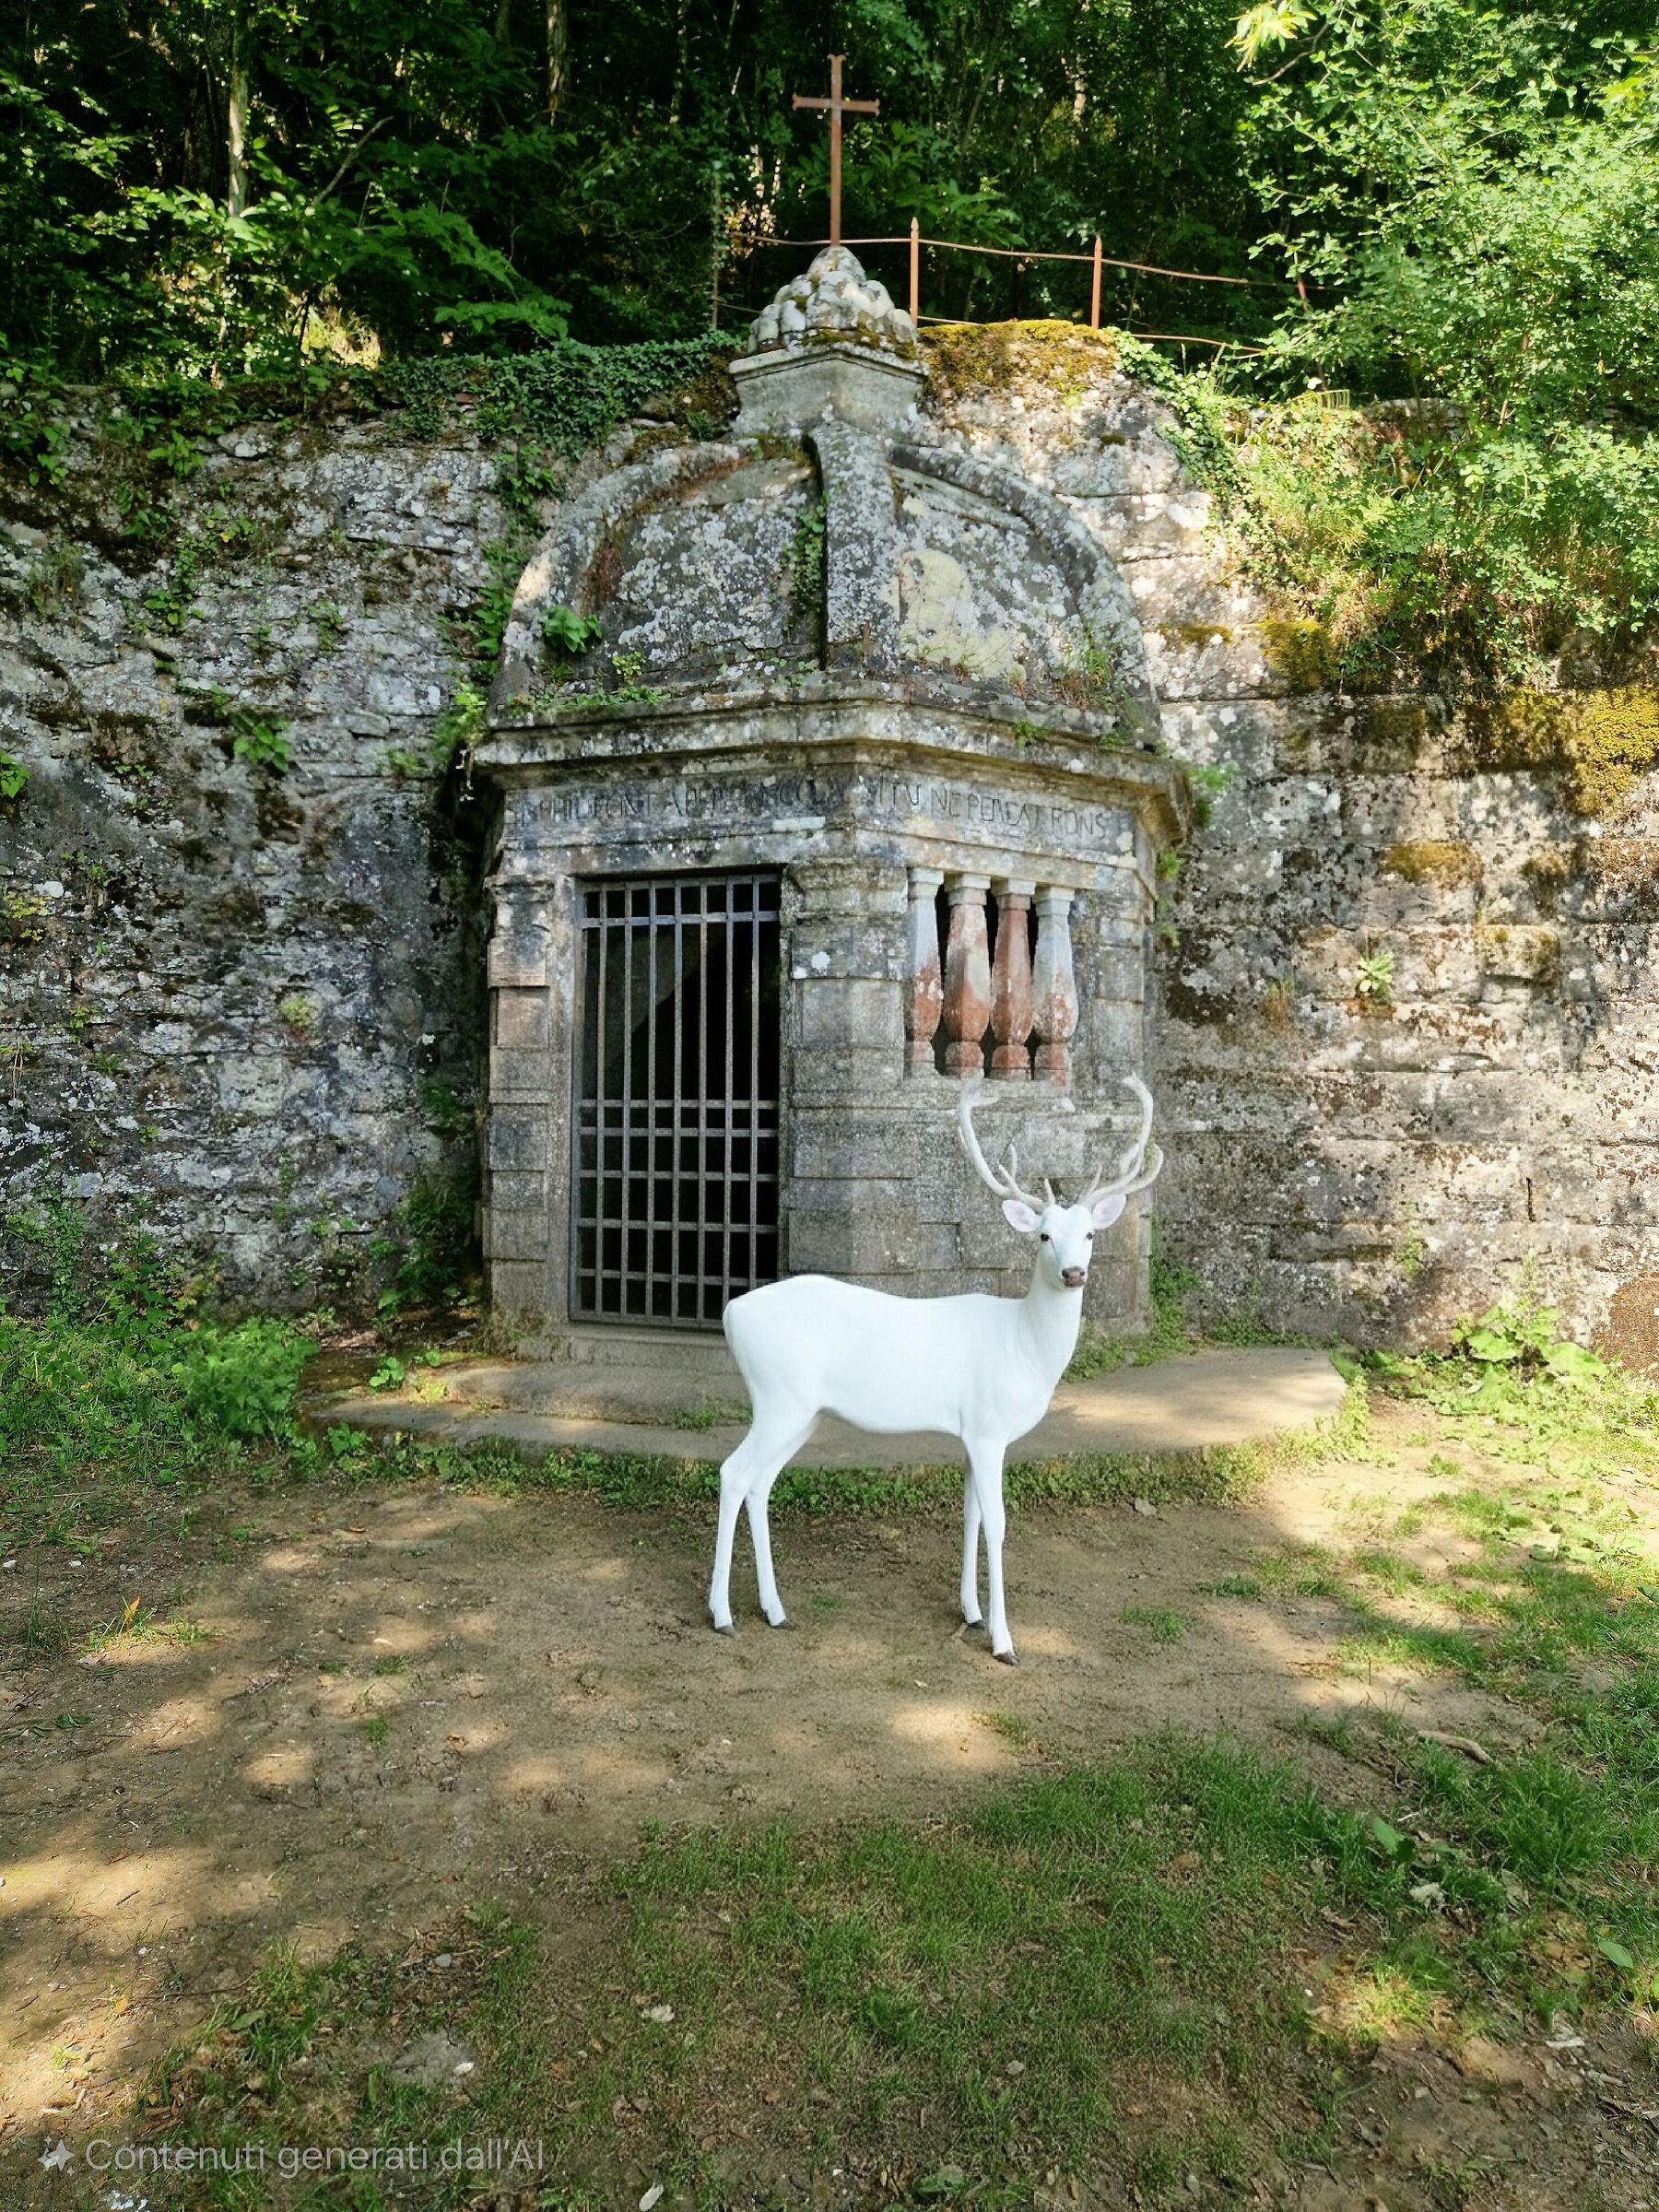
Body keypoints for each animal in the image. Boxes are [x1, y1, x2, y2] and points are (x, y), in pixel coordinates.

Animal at [707, 1076, 1163, 1664]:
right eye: (1043, 1235)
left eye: (1089, 1234)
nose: (1073, 1273)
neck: (1022, 1348)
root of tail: (731, 1312)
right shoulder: (989, 1428)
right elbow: (997, 1524)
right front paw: (1004, 1642)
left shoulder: (971, 1433)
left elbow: (970, 1515)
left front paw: (970, 1612)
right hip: (778, 1398)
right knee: (732, 1473)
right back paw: (721, 1614)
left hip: (801, 1412)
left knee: (760, 1482)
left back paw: (775, 1610)